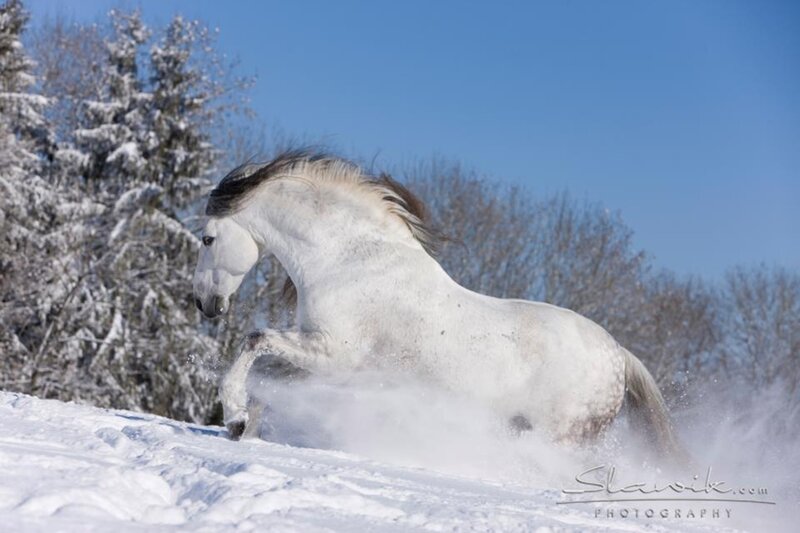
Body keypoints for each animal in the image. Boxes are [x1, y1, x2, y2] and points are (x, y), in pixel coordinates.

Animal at [192, 150, 682, 458]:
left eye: (207, 238)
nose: (204, 304)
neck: (351, 260)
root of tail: (619, 355)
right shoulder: (321, 360)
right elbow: (269, 380)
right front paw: (244, 427)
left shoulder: (332, 353)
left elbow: (255, 342)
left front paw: (234, 416)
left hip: (558, 436)